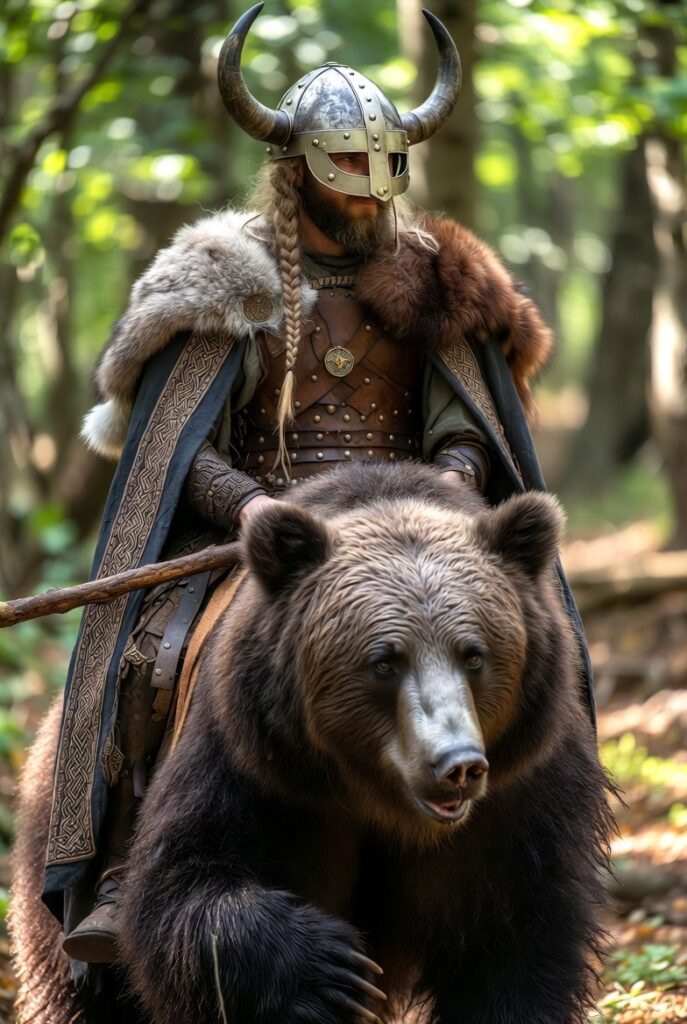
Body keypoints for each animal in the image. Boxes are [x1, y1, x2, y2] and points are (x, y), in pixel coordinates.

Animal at [10, 462, 612, 1024]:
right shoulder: (252, 763)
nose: (455, 764)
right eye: (384, 661)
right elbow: (186, 886)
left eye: (475, 653)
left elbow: (516, 943)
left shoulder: (520, 795)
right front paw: (331, 966)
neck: (382, 803)